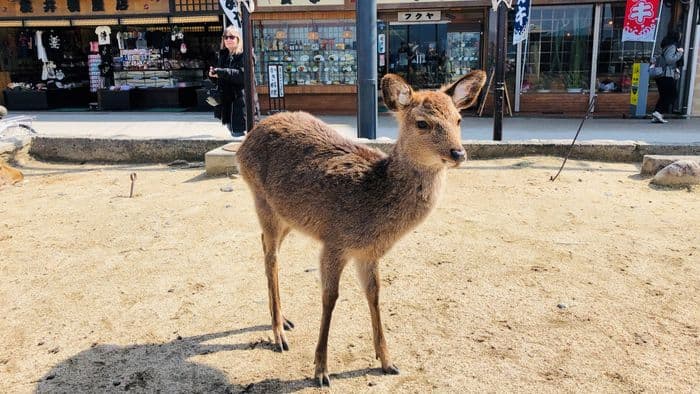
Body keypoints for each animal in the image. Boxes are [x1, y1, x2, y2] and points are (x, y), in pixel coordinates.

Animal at [235, 70, 486, 384]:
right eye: (422, 123)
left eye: (459, 119)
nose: (458, 153)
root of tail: (246, 139)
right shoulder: (334, 241)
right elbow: (330, 298)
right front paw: (320, 370)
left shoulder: (369, 253)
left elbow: (374, 295)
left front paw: (387, 361)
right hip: (261, 200)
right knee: (270, 256)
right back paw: (279, 335)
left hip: (286, 215)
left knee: (266, 245)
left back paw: (284, 320)